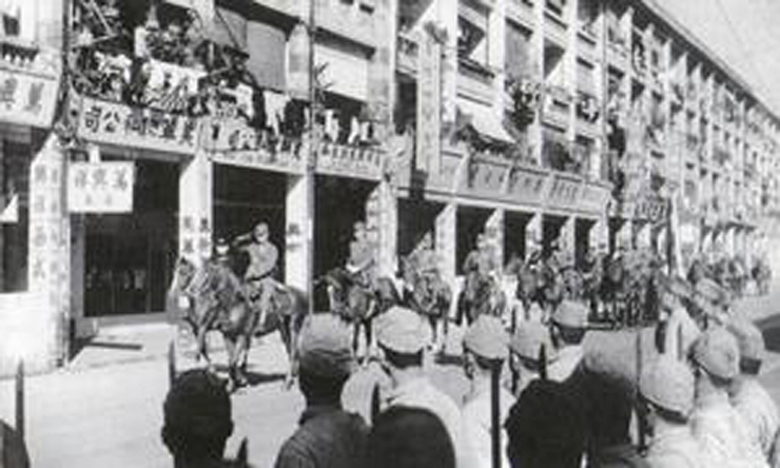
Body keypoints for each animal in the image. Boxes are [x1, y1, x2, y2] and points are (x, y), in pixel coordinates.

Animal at [169, 258, 310, 390]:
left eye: (206, 274)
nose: (192, 290)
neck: (234, 302)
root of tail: (302, 294)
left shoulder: (241, 334)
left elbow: (232, 360)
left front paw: (236, 381)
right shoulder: (224, 334)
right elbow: (230, 358)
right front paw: (232, 383)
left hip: (294, 326)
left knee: (293, 352)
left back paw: (287, 382)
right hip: (283, 330)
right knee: (290, 351)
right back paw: (292, 377)